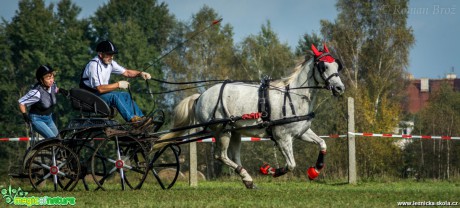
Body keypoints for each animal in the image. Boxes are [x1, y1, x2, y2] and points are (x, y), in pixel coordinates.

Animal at [156, 44, 344, 188]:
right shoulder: (282, 137)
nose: (340, 88)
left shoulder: (301, 132)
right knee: (221, 156)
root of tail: (201, 96)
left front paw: (315, 171)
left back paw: (247, 179)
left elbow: (322, 144)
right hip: (222, 131)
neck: (293, 96)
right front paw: (270, 170)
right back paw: (247, 177)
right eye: (324, 66)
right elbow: (291, 165)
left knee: (234, 157)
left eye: (337, 66)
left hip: (235, 132)